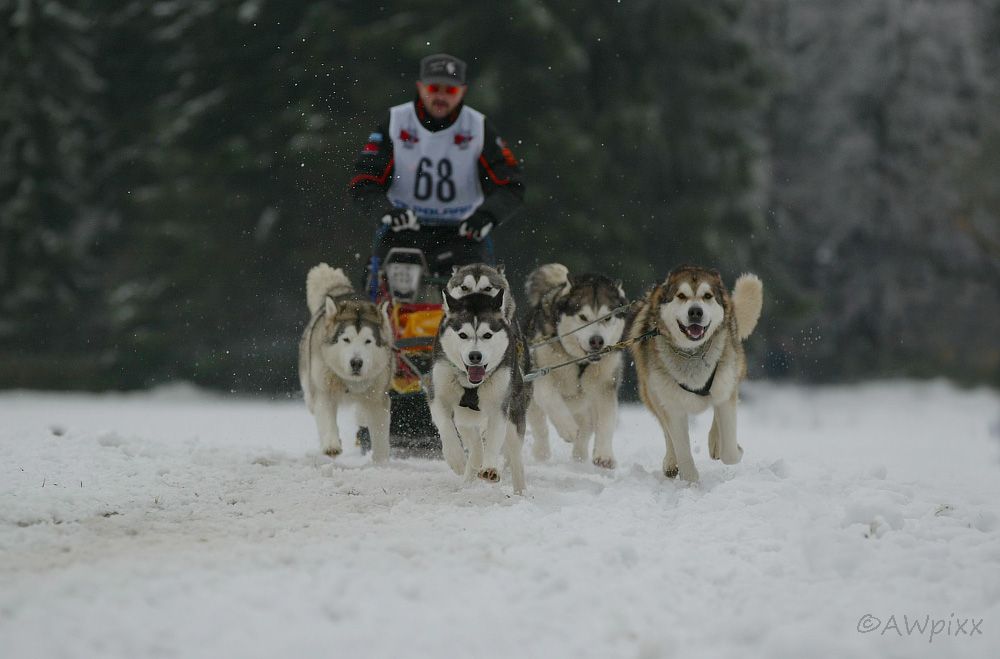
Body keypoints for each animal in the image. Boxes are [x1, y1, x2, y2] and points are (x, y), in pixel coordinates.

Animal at [298, 262, 392, 464]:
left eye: (368, 341)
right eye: (346, 339)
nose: (356, 362)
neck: (351, 383)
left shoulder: (379, 396)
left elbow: (380, 431)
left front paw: (381, 461)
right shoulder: (323, 390)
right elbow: (326, 417)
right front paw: (331, 445)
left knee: (362, 414)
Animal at [434, 286, 536, 492]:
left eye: (487, 335)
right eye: (462, 335)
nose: (475, 356)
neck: (471, 384)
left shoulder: (499, 407)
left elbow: (494, 441)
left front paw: (489, 468)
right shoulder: (439, 396)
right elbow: (446, 425)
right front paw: (456, 458)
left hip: (515, 412)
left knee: (514, 454)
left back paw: (520, 490)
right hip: (465, 415)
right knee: (472, 440)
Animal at [524, 266, 624, 466]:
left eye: (607, 318)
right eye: (583, 317)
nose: (597, 341)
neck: (580, 361)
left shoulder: (605, 384)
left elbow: (607, 421)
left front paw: (604, 454)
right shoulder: (540, 374)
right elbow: (549, 398)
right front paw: (568, 428)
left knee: (587, 426)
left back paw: (579, 455)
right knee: (539, 425)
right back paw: (542, 453)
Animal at [628, 266, 760, 482]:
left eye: (707, 296)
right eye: (681, 296)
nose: (696, 311)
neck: (692, 353)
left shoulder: (725, 388)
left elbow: (730, 453)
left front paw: (732, 449)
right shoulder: (671, 406)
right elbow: (681, 448)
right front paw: (690, 482)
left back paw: (715, 441)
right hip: (652, 395)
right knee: (667, 432)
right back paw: (670, 462)